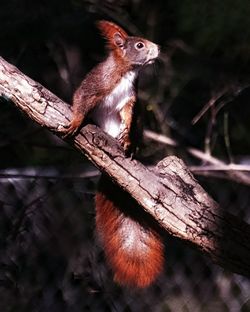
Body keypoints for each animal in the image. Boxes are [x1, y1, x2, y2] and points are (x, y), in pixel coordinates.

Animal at [61, 20, 164, 288]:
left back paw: (130, 145)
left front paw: (127, 139)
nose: (158, 48)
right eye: (139, 45)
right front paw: (76, 122)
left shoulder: (131, 99)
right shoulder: (96, 84)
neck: (127, 72)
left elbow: (128, 115)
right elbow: (81, 100)